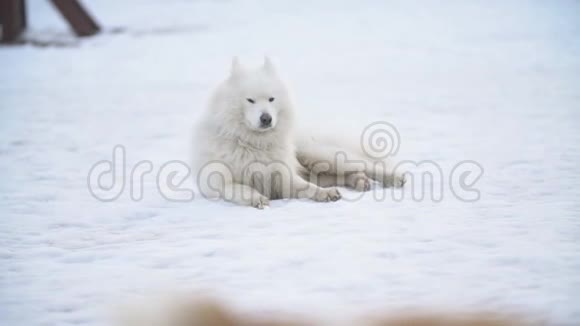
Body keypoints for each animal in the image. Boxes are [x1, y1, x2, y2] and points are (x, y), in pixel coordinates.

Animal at [193, 57, 406, 208]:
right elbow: (240, 189)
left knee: (367, 166)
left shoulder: (283, 176)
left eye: (271, 99)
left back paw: (394, 178)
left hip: (319, 155)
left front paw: (325, 194)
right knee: (349, 173)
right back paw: (359, 182)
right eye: (250, 100)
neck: (253, 143)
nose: (266, 118)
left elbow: (307, 187)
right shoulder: (218, 182)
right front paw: (257, 199)